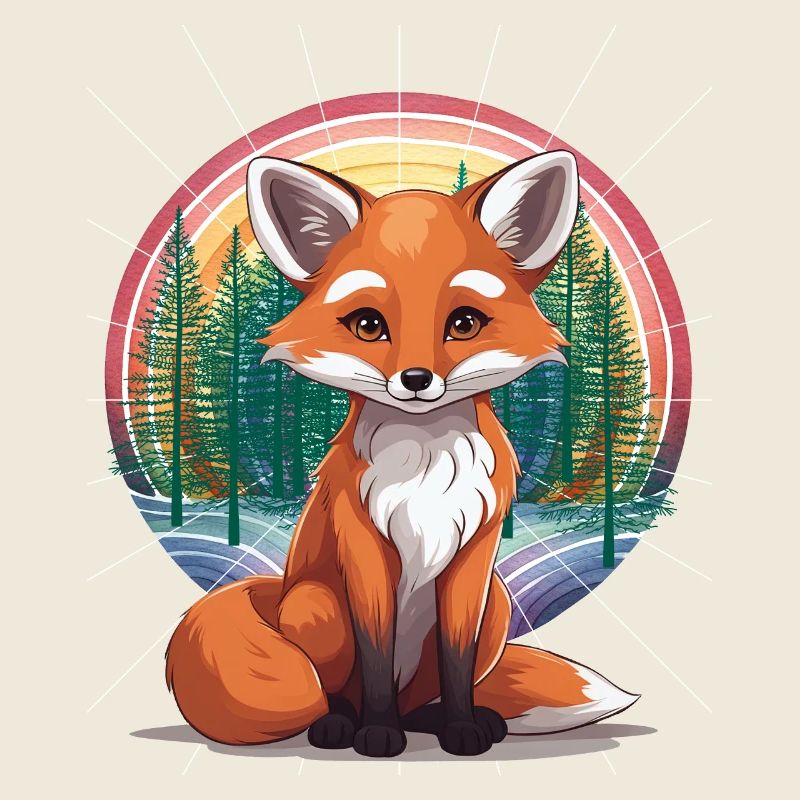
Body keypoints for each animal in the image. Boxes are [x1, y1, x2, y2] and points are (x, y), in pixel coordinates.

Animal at [165, 151, 639, 757]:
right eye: (369, 325)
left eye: (464, 323)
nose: (416, 380)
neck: (426, 469)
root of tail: (277, 591)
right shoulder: (364, 548)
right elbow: (375, 652)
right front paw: (376, 732)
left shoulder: (474, 558)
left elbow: (458, 659)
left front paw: (461, 727)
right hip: (316, 606)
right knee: (338, 689)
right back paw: (341, 723)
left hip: (498, 606)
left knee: (424, 698)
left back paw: (440, 721)